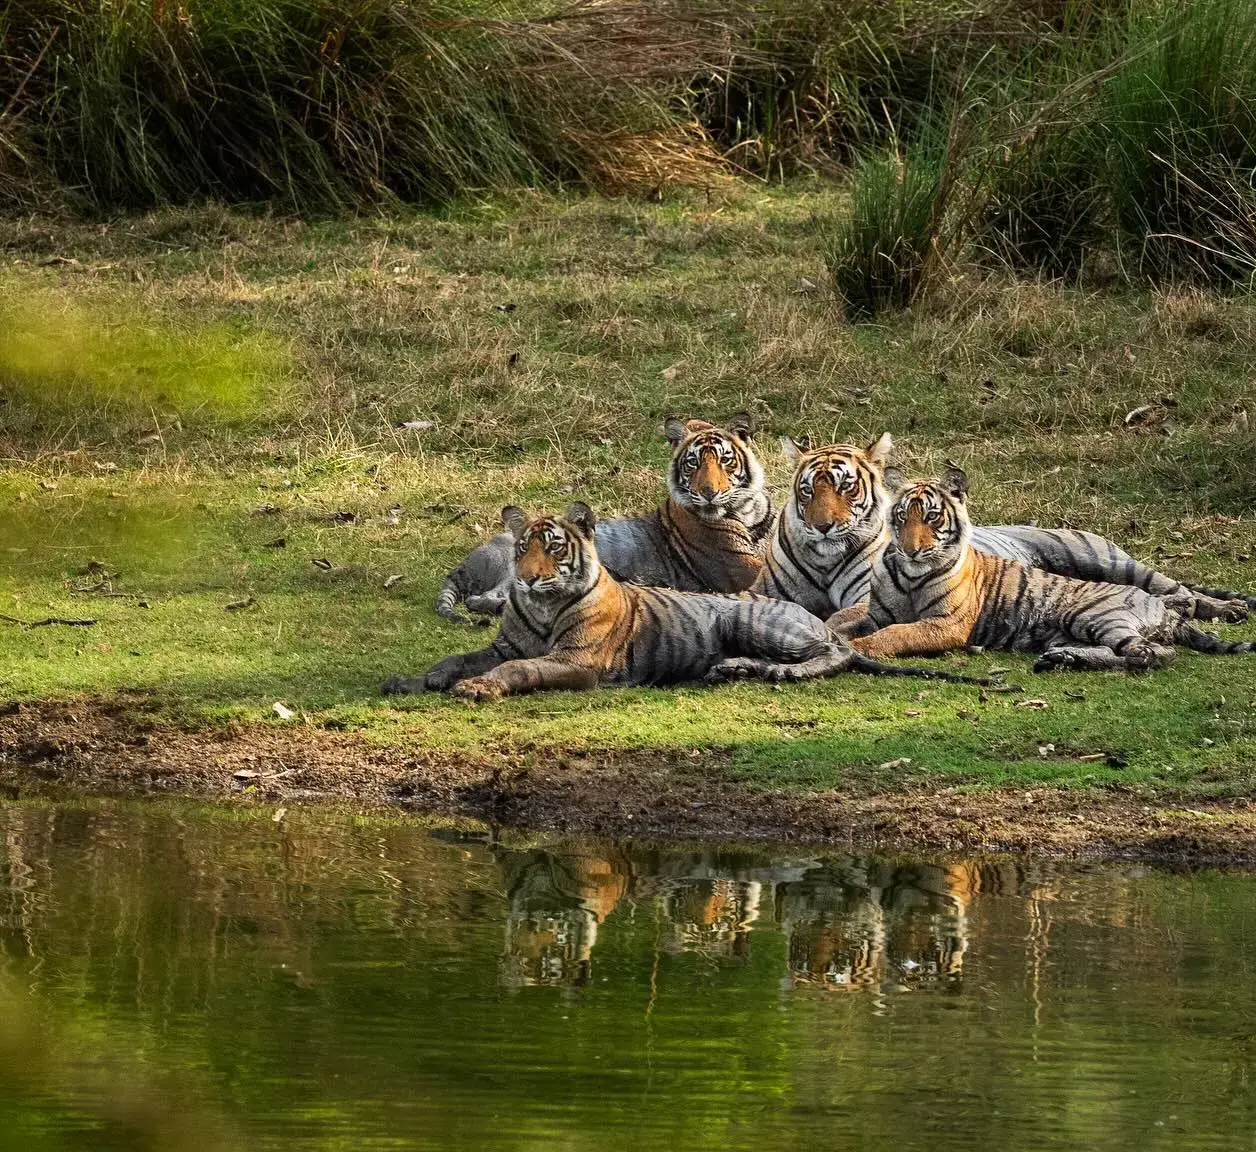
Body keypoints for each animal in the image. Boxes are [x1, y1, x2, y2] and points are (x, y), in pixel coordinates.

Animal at [385, 502, 999, 700]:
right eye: (523, 549)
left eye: (553, 548)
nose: (530, 580)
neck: (538, 607)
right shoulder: (501, 643)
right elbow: (460, 656)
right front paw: (415, 679)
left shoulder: (574, 661)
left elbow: (520, 669)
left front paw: (478, 688)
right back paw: (733, 670)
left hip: (754, 619)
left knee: (837, 655)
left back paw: (775, 671)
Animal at [434, 414, 774, 623]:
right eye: (693, 463)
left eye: (725, 460)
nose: (708, 493)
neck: (748, 509)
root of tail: (466, 562)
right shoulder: (746, 568)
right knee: (484, 598)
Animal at [756, 434, 1253, 623]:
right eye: (808, 492)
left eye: (846, 488)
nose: (823, 527)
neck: (826, 558)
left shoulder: (864, 597)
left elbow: (839, 615)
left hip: (1110, 559)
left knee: (1172, 586)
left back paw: (1223, 608)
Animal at [831, 467, 1255, 672]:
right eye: (902, 517)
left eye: (932, 517)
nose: (911, 549)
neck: (909, 575)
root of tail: (1163, 611)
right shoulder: (874, 613)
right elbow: (843, 622)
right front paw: (835, 637)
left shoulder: (945, 624)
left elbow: (895, 634)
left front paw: (857, 648)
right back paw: (1065, 659)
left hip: (1098, 600)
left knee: (1157, 646)